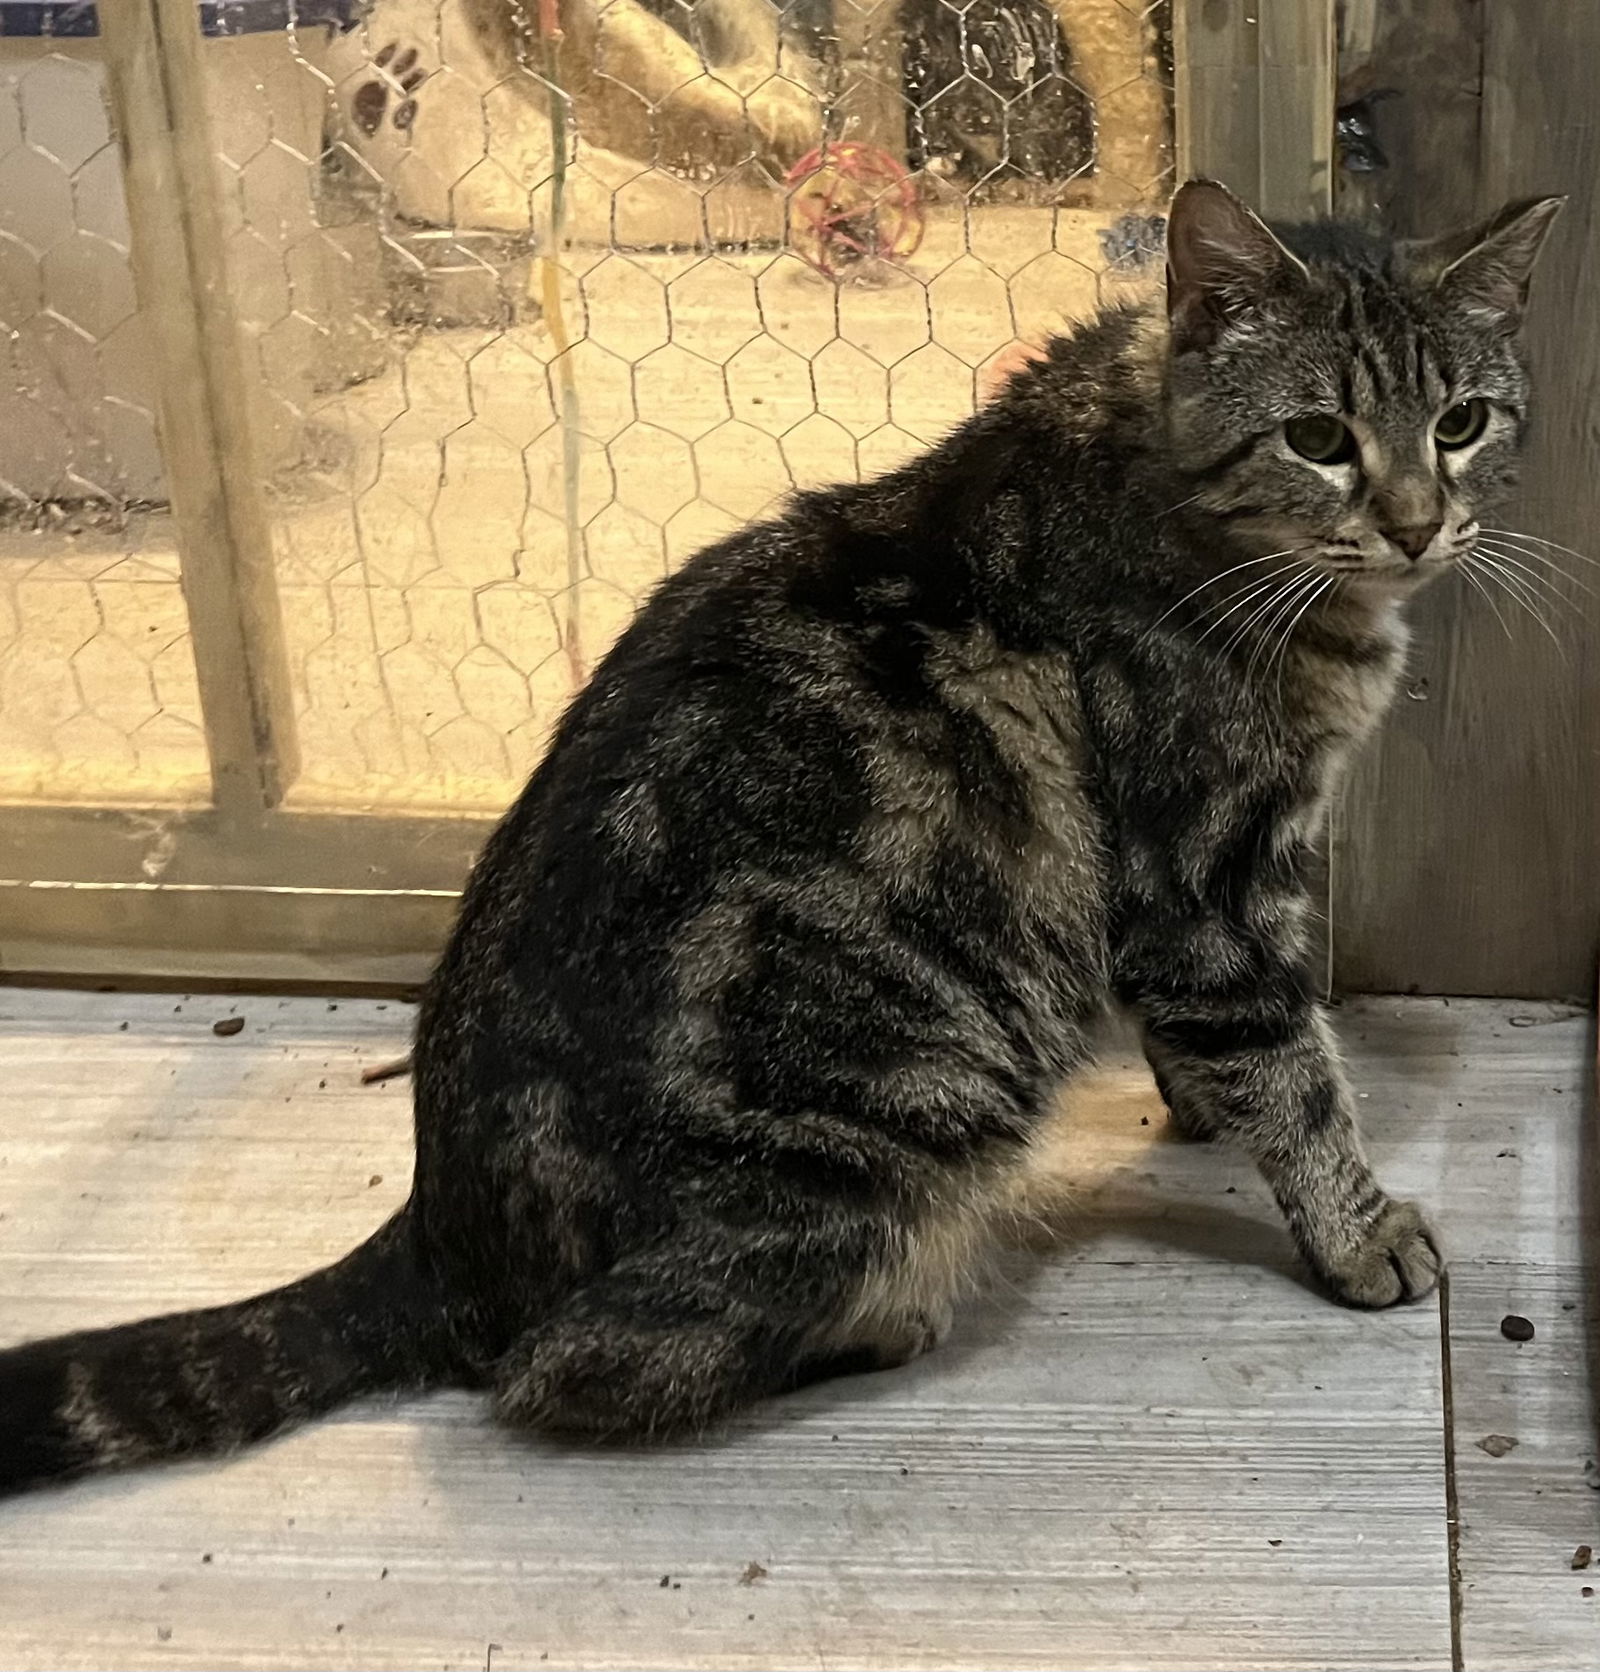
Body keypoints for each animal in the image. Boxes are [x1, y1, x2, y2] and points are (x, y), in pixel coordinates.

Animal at [0, 179, 1551, 1491]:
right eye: (1319, 438)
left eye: (1464, 422)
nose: (1418, 524)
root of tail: (438, 1237)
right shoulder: (1209, 881)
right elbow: (1293, 1073)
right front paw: (1357, 1230)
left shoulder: (1212, 896)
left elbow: (1230, 1054)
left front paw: (1202, 1116)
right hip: (912, 1115)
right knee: (567, 1372)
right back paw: (884, 1318)